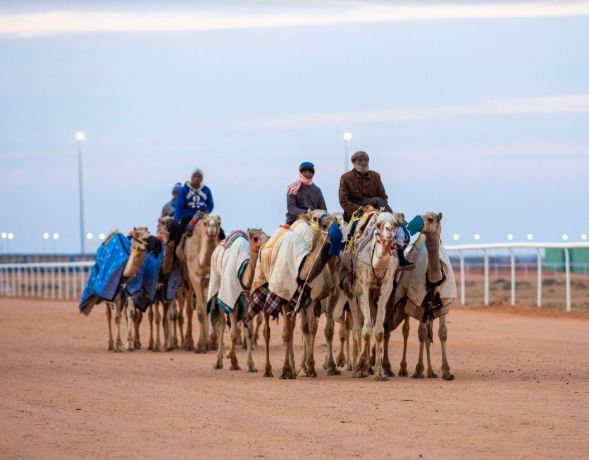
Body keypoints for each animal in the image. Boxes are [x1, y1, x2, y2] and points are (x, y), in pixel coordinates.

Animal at [178, 212, 222, 352]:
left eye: (219, 223)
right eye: (205, 223)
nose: (212, 227)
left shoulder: (210, 278)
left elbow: (207, 308)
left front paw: (209, 343)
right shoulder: (195, 277)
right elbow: (200, 311)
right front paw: (201, 345)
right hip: (186, 279)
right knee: (189, 310)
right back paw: (188, 343)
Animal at [209, 228, 268, 372]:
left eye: (268, 235)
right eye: (255, 238)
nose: (267, 242)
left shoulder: (247, 302)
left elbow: (249, 332)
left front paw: (251, 365)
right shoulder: (231, 301)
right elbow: (233, 333)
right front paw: (228, 354)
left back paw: (234, 363)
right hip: (219, 293)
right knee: (222, 324)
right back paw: (219, 362)